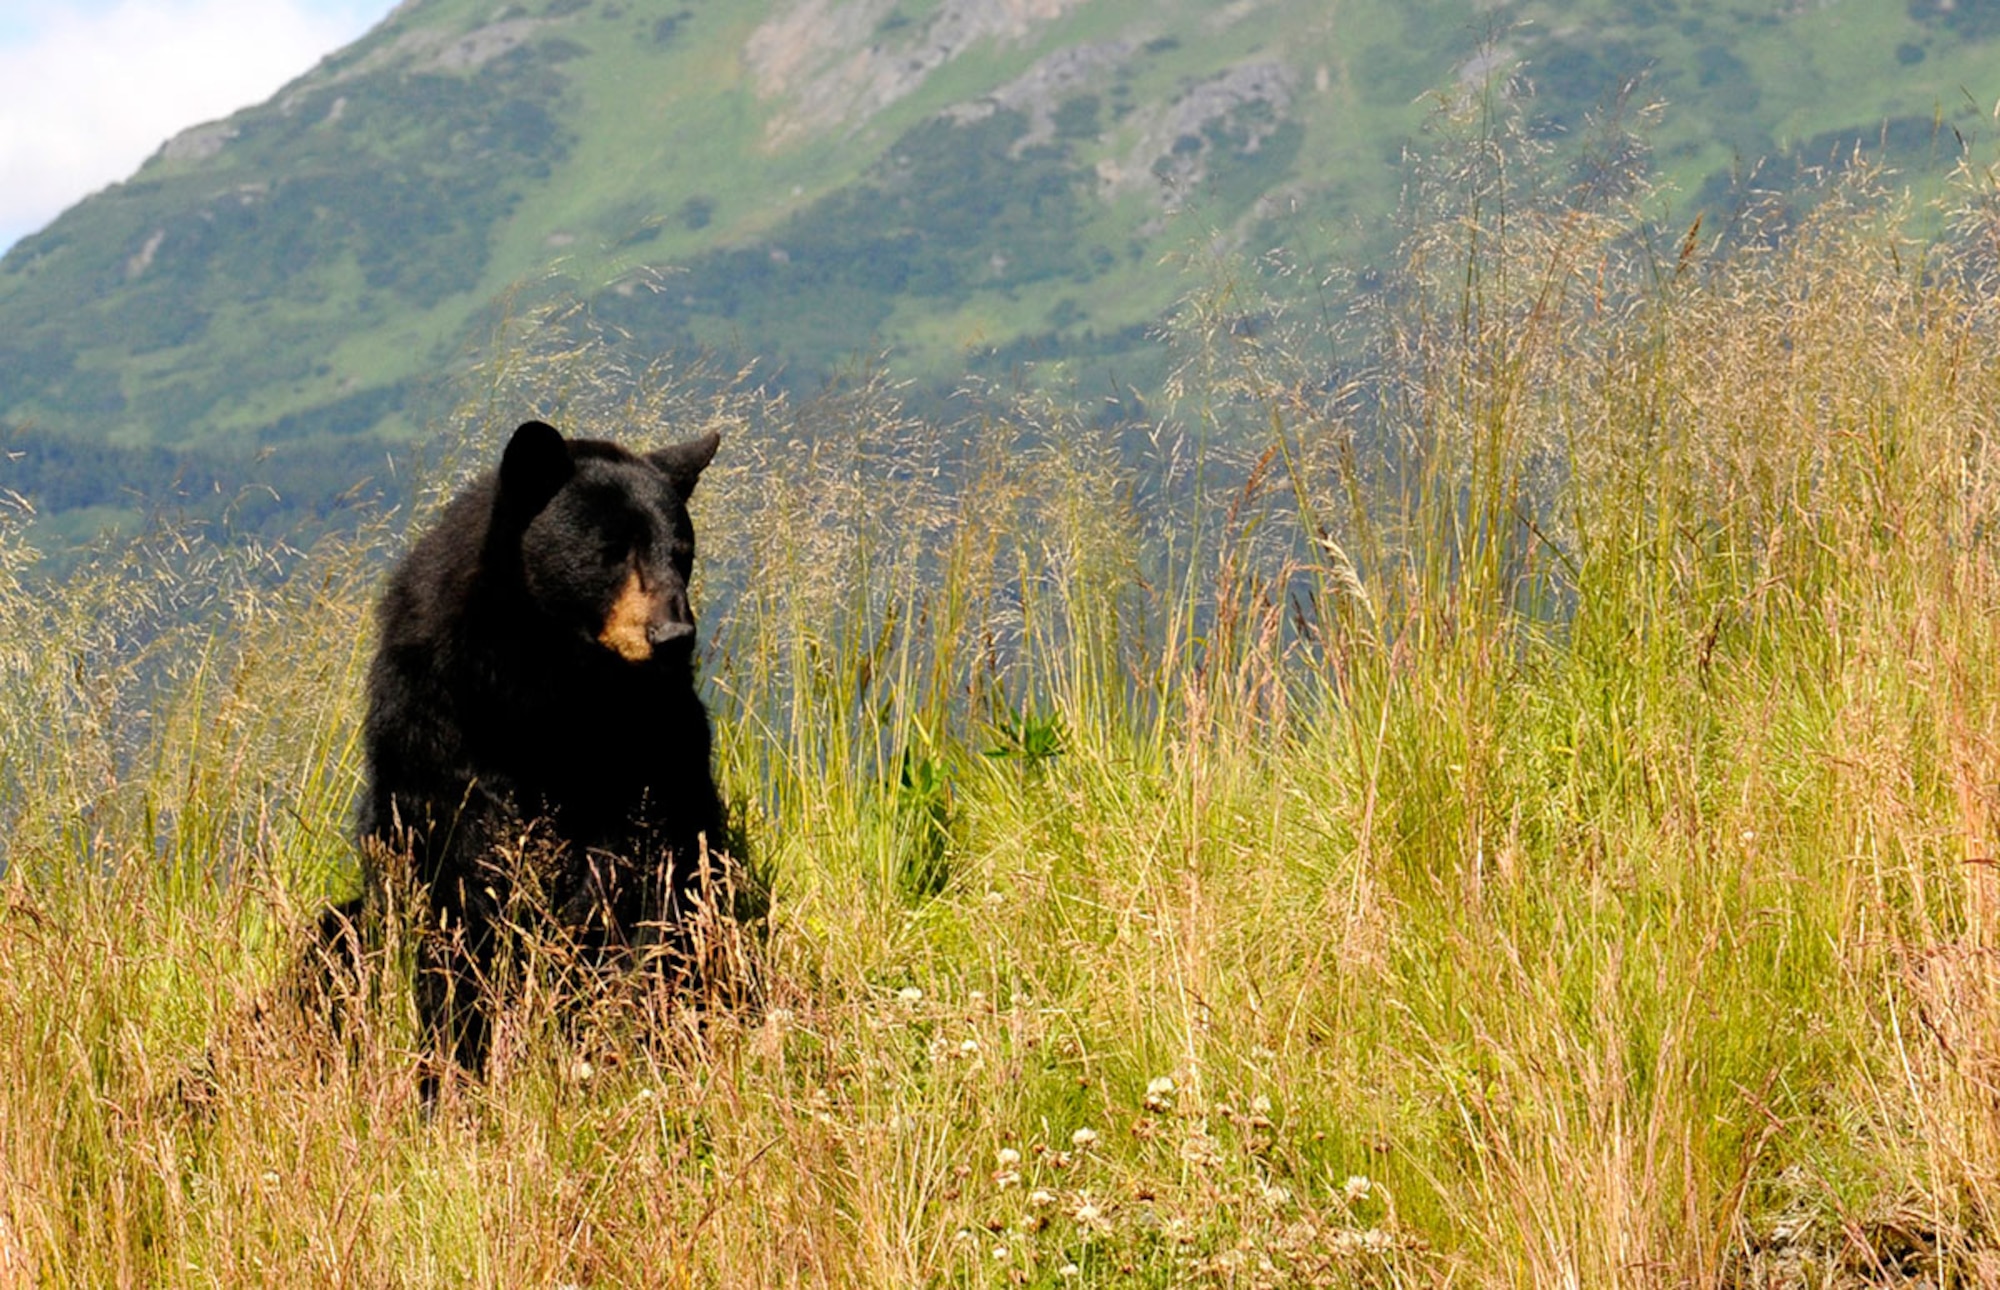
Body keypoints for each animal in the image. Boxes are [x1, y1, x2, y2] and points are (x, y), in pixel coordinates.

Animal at [344, 420, 728, 1080]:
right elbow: (459, 882)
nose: (672, 635)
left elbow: (654, 870)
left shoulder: (655, 741)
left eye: (681, 552)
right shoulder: (436, 729)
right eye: (611, 552)